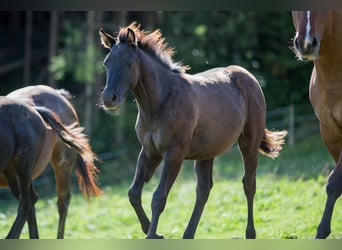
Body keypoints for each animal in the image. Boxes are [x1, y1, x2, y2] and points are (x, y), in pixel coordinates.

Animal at [99, 22, 288, 239]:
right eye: (106, 63)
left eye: (129, 63)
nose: (109, 99)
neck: (161, 101)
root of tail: (250, 77)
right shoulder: (150, 152)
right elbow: (134, 193)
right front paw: (150, 231)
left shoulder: (175, 153)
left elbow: (158, 197)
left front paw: (153, 235)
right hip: (207, 153)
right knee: (204, 189)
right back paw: (188, 234)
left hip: (249, 143)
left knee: (249, 184)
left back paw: (250, 233)